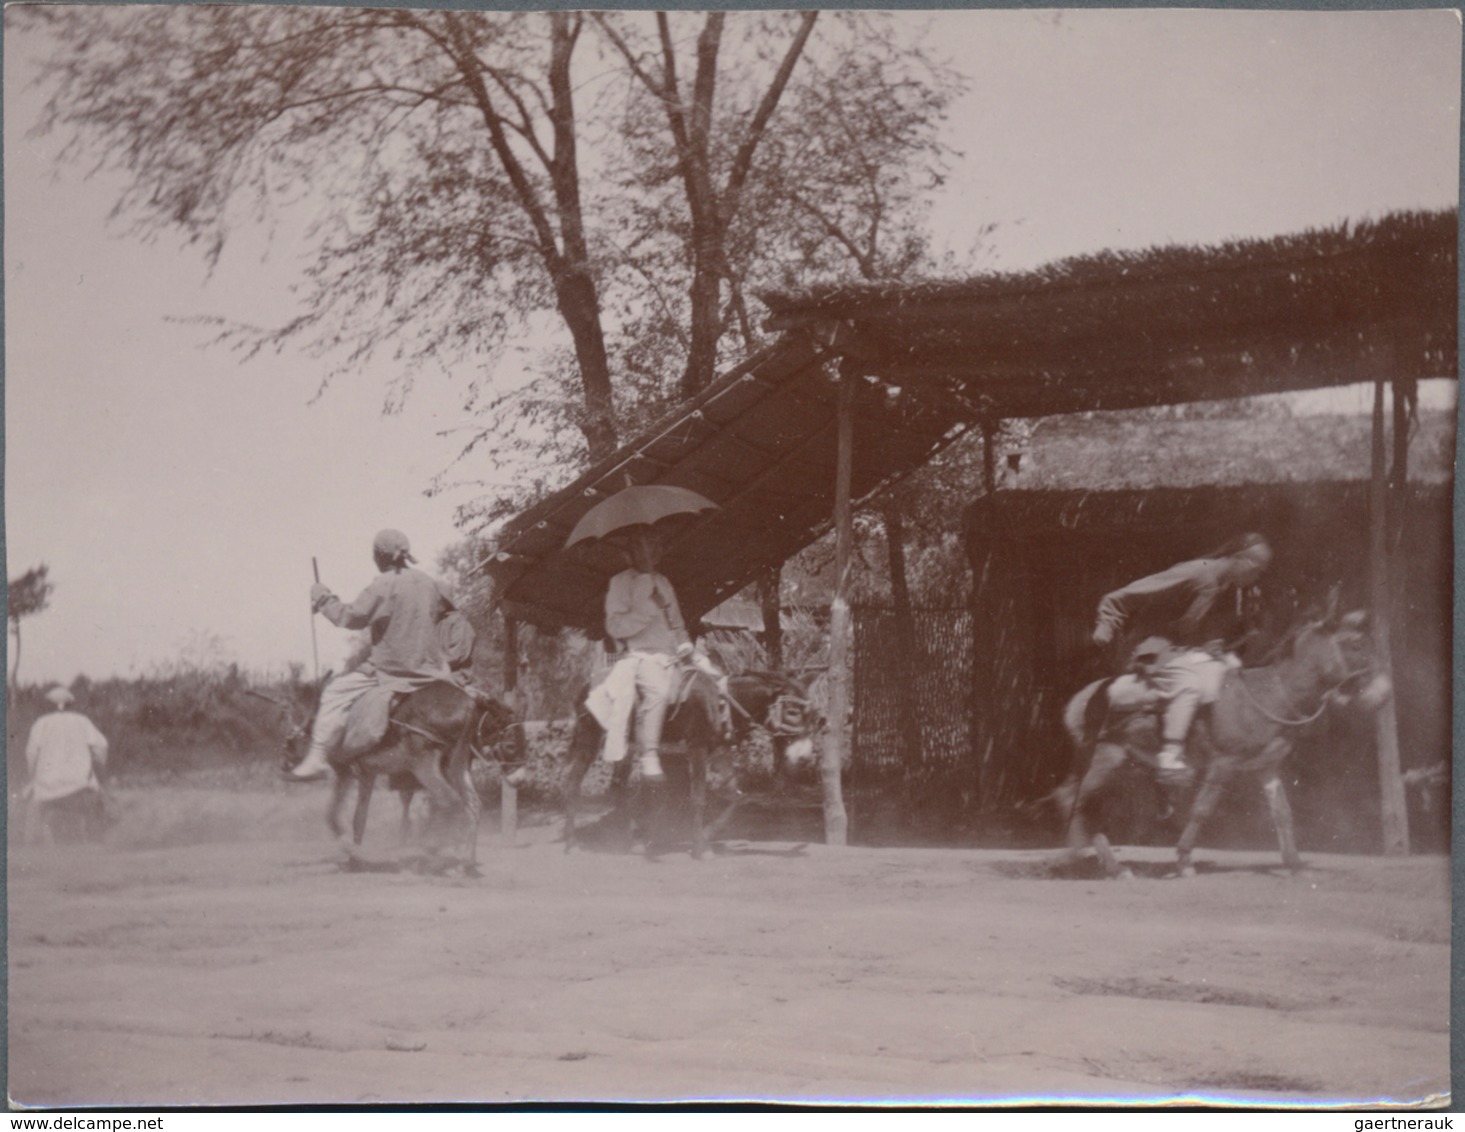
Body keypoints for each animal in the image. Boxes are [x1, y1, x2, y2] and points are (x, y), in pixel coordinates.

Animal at [559, 661, 820, 855]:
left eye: (813, 715)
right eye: (793, 712)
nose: (805, 758)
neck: (721, 703)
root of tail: (585, 684)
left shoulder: (721, 753)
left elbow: (736, 796)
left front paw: (707, 833)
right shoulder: (697, 750)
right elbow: (698, 797)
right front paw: (700, 847)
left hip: (625, 745)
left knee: (618, 788)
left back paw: (631, 840)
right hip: (589, 739)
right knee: (572, 784)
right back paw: (572, 844)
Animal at [1060, 609, 1388, 884]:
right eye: (1356, 646)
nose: (1382, 693)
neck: (1270, 693)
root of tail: (1082, 696)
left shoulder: (1267, 767)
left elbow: (1282, 812)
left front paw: (1294, 863)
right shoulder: (1223, 764)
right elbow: (1202, 809)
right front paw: (1184, 861)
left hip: (1124, 765)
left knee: (1086, 806)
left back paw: (1113, 867)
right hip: (1104, 761)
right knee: (1078, 803)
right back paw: (1086, 861)